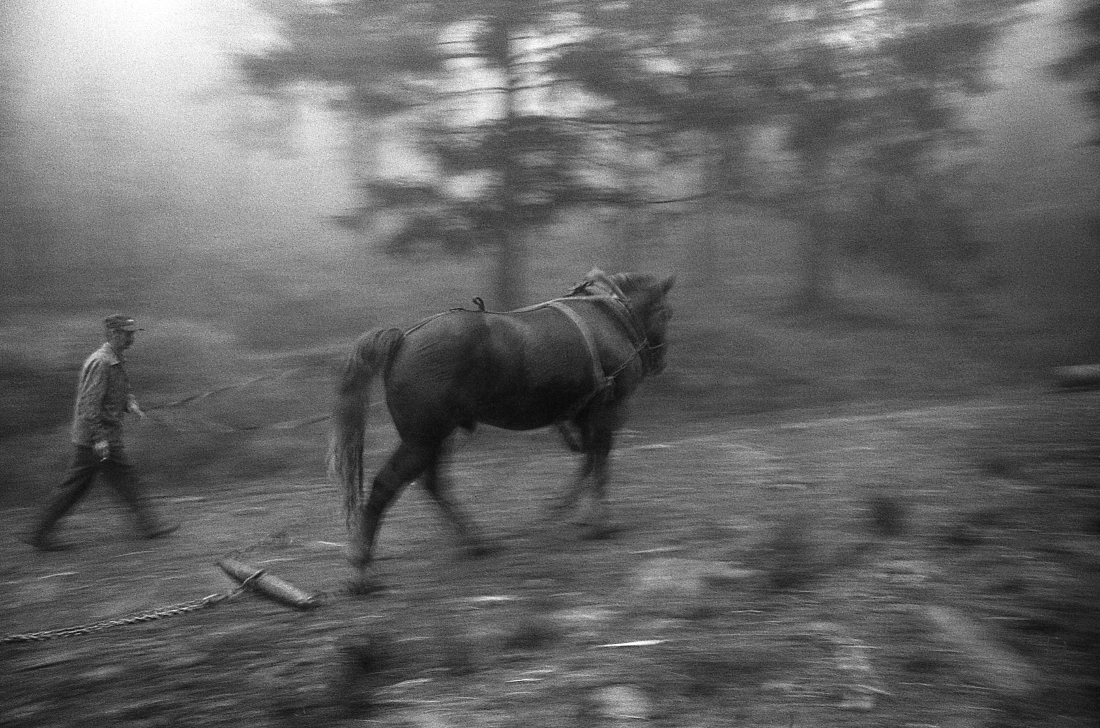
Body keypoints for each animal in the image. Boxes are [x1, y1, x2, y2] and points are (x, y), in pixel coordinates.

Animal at [329, 268, 674, 591]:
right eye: (666, 313)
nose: (659, 362)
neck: (609, 316)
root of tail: (403, 340)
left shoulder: (584, 413)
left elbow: (589, 459)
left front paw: (567, 508)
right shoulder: (607, 409)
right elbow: (600, 460)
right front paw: (597, 520)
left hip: (434, 437)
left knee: (433, 484)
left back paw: (474, 542)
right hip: (423, 439)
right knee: (387, 485)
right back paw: (361, 569)